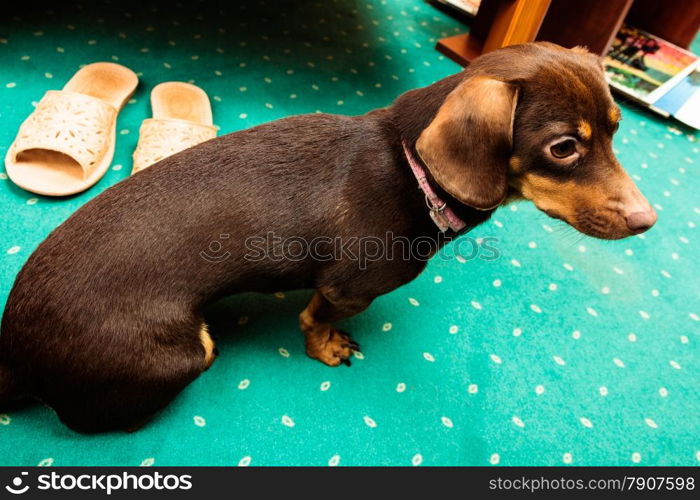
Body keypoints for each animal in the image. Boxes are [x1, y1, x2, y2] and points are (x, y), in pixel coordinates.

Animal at [0, 43, 656, 432]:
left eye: (617, 129)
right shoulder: (348, 287)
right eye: (564, 148)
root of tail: (17, 358)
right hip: (187, 351)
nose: (648, 221)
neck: (411, 166)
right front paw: (327, 347)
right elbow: (314, 318)